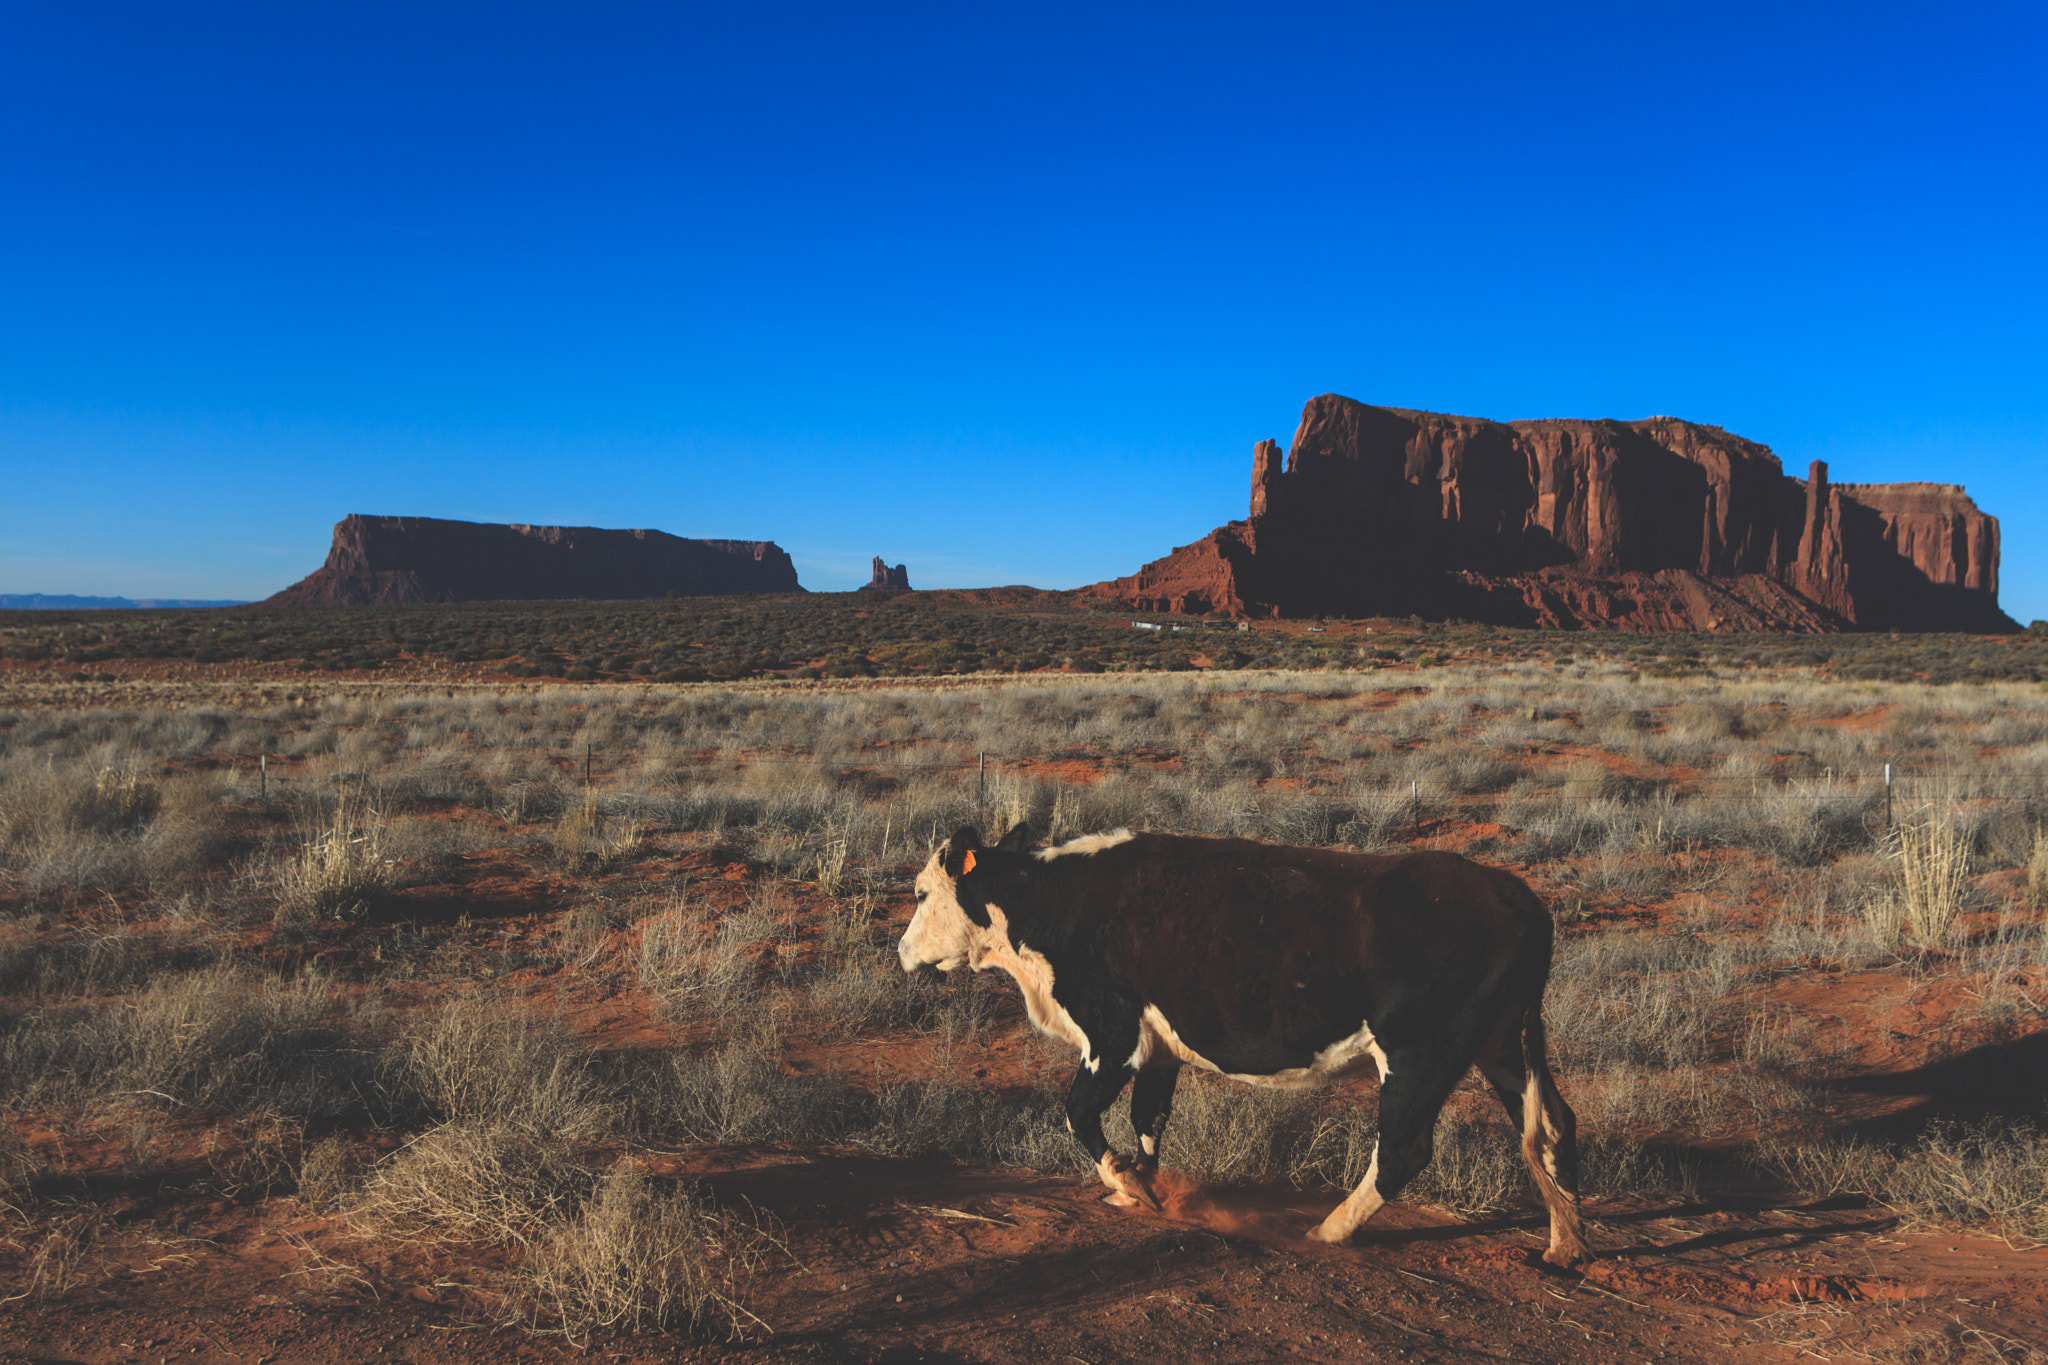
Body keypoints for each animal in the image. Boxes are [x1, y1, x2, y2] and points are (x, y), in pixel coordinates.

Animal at [905, 822, 1589, 1268]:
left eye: (919, 892)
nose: (903, 950)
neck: (1058, 904)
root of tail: (1518, 898)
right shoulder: (1158, 1047)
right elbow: (1148, 1119)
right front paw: (1143, 1187)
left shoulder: (1113, 1036)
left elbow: (1079, 1113)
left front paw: (1125, 1182)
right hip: (1506, 1045)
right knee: (1553, 1125)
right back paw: (1567, 1244)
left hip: (1421, 1052)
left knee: (1403, 1149)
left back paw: (1327, 1232)